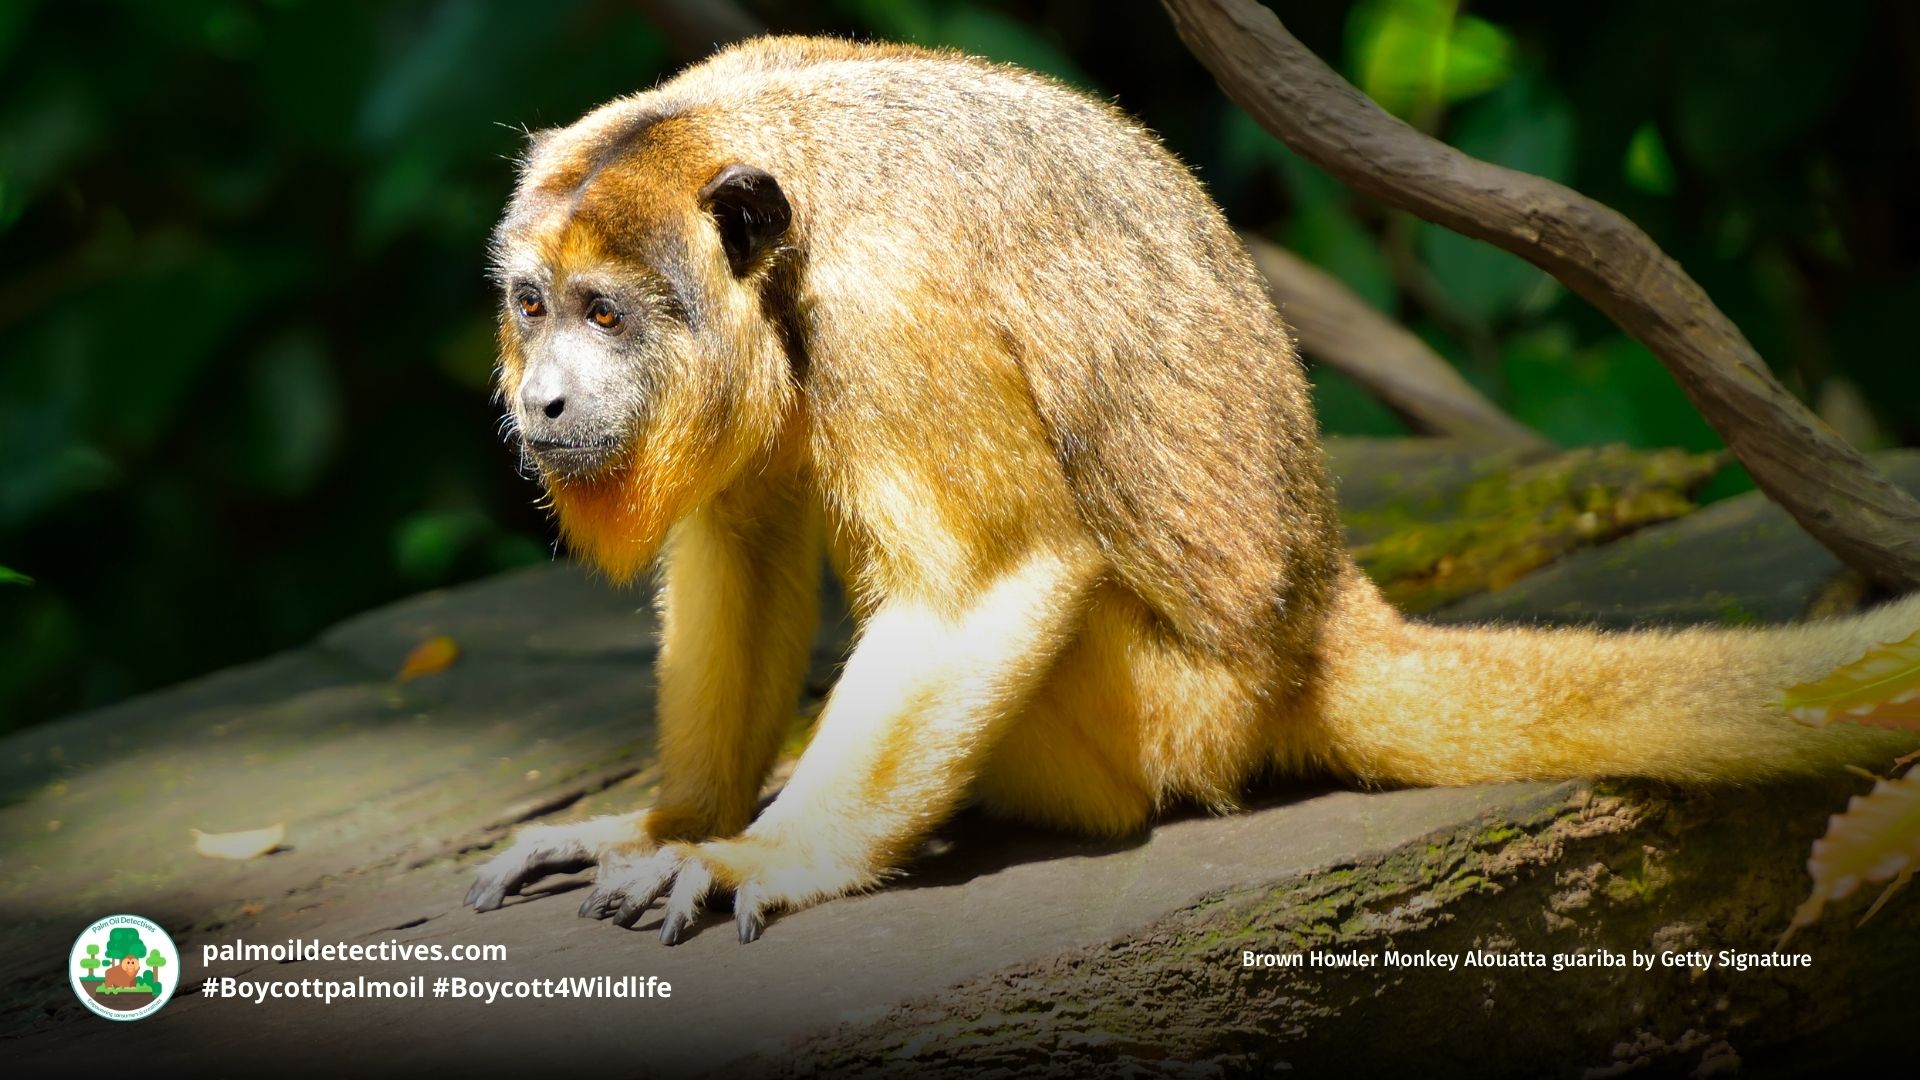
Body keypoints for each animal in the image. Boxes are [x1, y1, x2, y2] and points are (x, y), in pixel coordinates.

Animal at [464, 36, 1920, 945]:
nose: (541, 402)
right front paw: (672, 823)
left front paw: (766, 856)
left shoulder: (888, 311)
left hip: (1161, 712)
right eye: (533, 306)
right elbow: (742, 539)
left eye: (606, 314)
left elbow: (984, 590)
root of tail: (1314, 624)